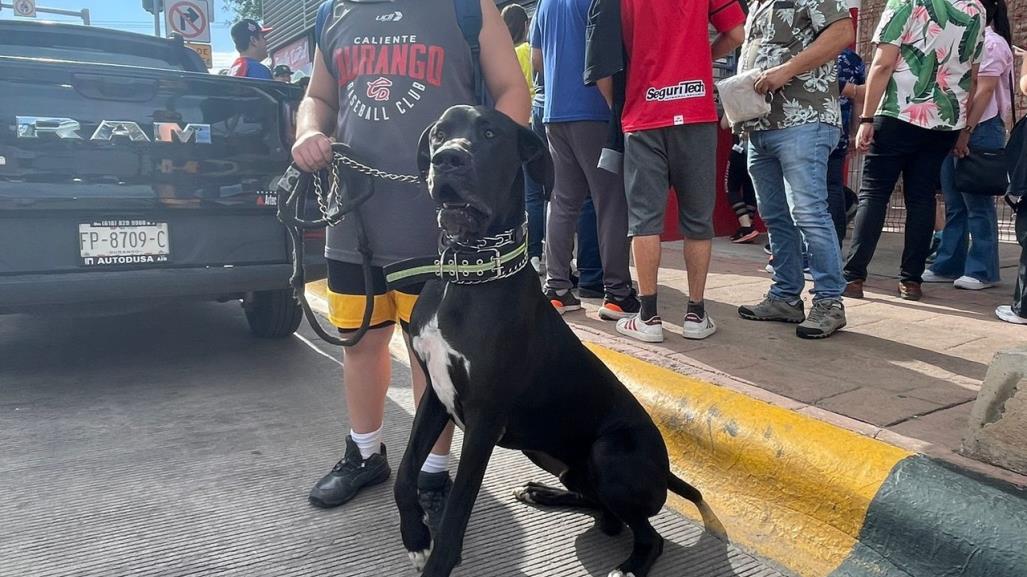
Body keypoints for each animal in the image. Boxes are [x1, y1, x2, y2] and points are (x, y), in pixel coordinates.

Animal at [388, 105, 702, 574]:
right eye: (440, 134)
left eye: (490, 134)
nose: (447, 160)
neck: (468, 275)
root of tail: (665, 472)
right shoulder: (436, 396)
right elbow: (405, 472)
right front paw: (415, 534)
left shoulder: (484, 420)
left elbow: (458, 509)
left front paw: (437, 558)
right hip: (547, 453)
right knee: (604, 513)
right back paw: (544, 494)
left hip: (611, 454)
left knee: (647, 534)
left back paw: (629, 563)